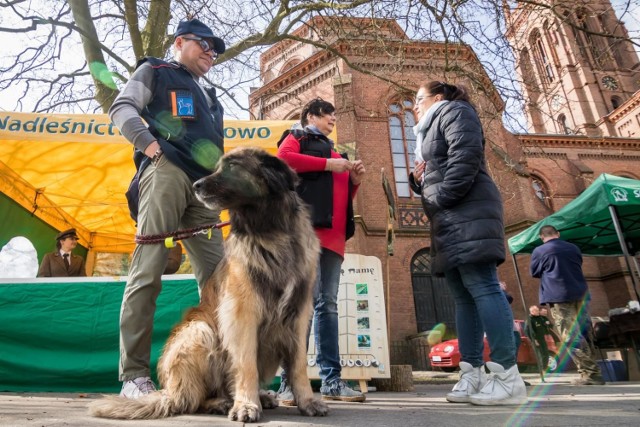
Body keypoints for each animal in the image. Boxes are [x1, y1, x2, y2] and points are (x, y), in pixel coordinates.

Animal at [89, 149, 328, 422]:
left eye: (232, 166)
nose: (196, 185)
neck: (270, 231)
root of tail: (169, 391)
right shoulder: (242, 314)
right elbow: (246, 364)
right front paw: (246, 405)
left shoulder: (299, 314)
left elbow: (298, 366)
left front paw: (308, 401)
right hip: (200, 331)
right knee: (192, 399)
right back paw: (222, 402)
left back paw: (259, 396)